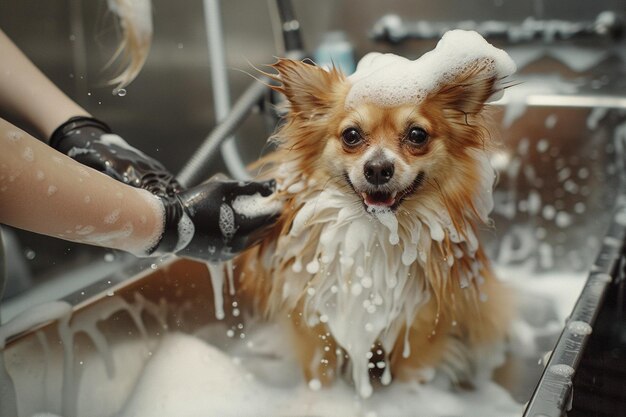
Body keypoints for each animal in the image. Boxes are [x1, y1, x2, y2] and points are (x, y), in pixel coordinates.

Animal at [235, 30, 516, 396]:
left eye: (417, 135)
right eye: (351, 135)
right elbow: (320, 376)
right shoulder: (316, 326)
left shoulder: (422, 330)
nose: (378, 168)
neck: (373, 233)